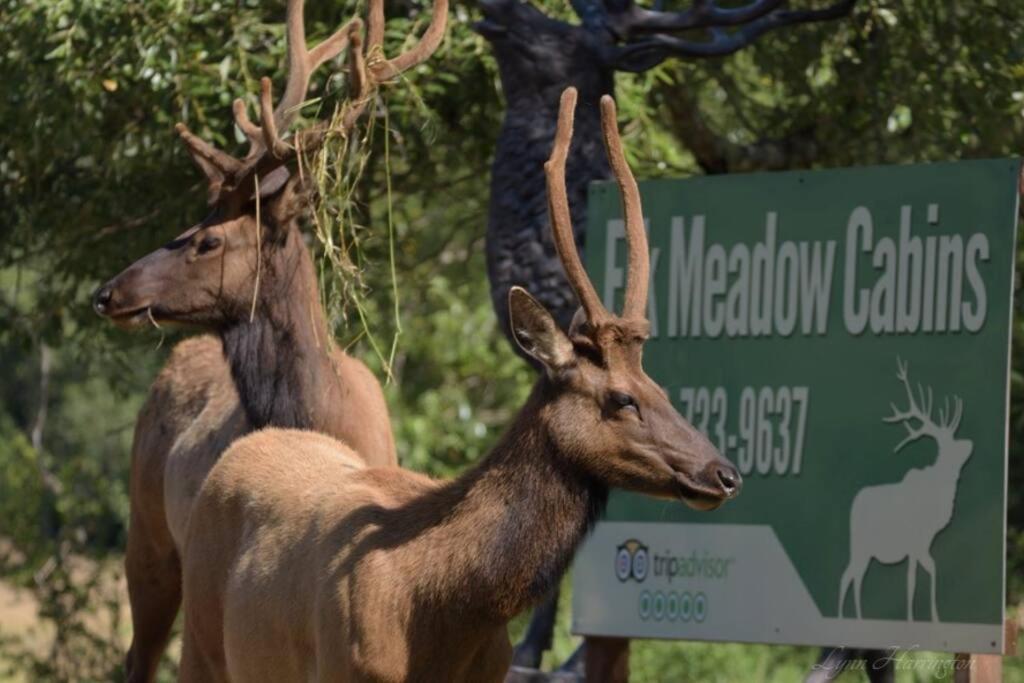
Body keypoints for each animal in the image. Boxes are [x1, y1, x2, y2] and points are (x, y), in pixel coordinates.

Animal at [90, 1, 447, 680]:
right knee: (136, 655)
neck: (316, 415)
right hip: (148, 533)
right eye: (190, 222)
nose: (108, 292)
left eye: (208, 239)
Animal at [176, 88, 741, 682]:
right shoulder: (342, 666)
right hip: (200, 640)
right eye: (622, 398)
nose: (724, 474)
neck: (447, 608)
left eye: (662, 390)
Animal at [838, 358, 973, 622]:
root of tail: (853, 504)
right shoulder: (914, 543)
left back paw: (855, 616)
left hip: (865, 550)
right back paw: (844, 616)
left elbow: (930, 570)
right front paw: (911, 618)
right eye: (952, 446)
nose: (971, 443)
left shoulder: (922, 545)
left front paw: (934, 617)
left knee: (855, 575)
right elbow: (911, 581)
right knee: (848, 575)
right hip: (859, 544)